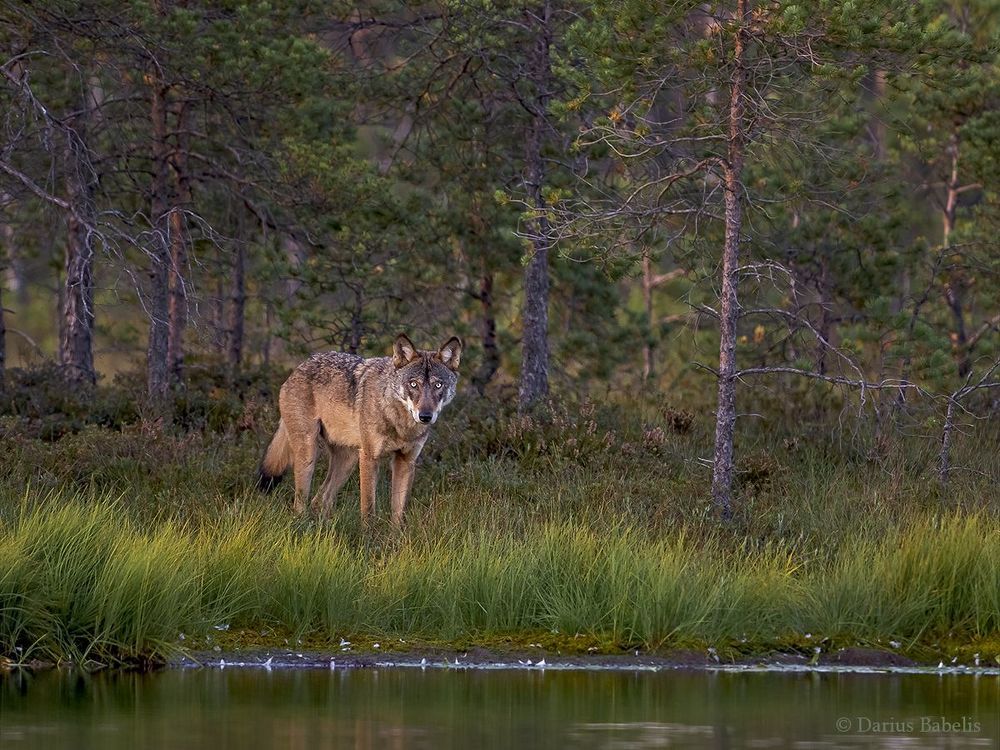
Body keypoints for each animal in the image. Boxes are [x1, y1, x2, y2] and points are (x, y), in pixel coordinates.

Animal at [257, 334, 462, 525]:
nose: (425, 416)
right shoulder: (369, 458)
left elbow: (398, 512)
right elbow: (368, 508)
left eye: (438, 385)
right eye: (413, 384)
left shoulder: (406, 461)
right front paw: (369, 537)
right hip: (309, 455)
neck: (400, 423)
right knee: (300, 503)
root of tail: (299, 367)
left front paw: (397, 538)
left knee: (320, 500)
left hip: (348, 461)